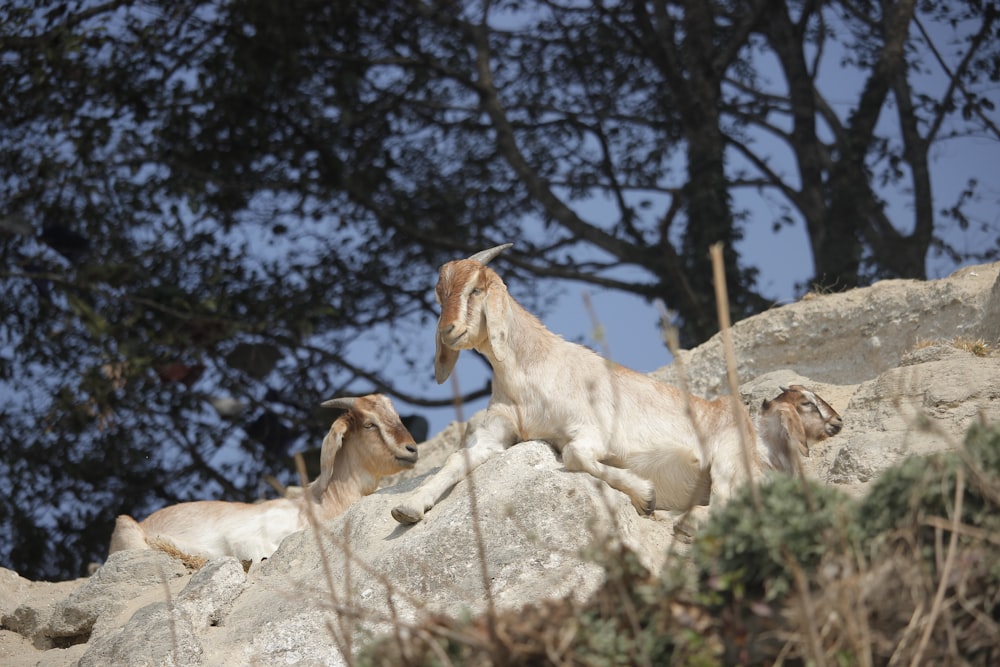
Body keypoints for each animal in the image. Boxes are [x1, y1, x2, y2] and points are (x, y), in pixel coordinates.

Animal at [390, 245, 844, 528]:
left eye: (476, 289)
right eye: (440, 293)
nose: (448, 331)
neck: (534, 372)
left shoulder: (590, 429)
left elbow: (573, 456)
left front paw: (645, 495)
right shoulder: (498, 433)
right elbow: (457, 459)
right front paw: (408, 508)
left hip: (731, 459)